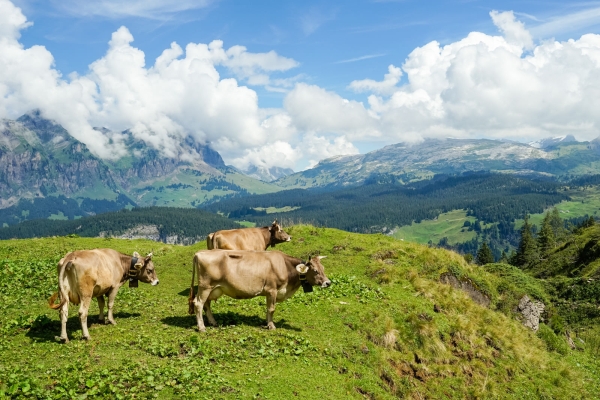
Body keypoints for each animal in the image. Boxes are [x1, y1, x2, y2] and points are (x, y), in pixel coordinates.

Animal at [188, 250, 330, 332]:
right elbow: (272, 309)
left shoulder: (268, 292)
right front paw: (271, 326)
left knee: (206, 304)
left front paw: (267, 323)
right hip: (205, 286)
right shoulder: (272, 289)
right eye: (315, 271)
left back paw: (213, 322)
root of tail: (199, 253)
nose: (328, 283)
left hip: (212, 289)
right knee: (198, 304)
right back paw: (202, 327)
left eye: (323, 268)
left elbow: (268, 309)